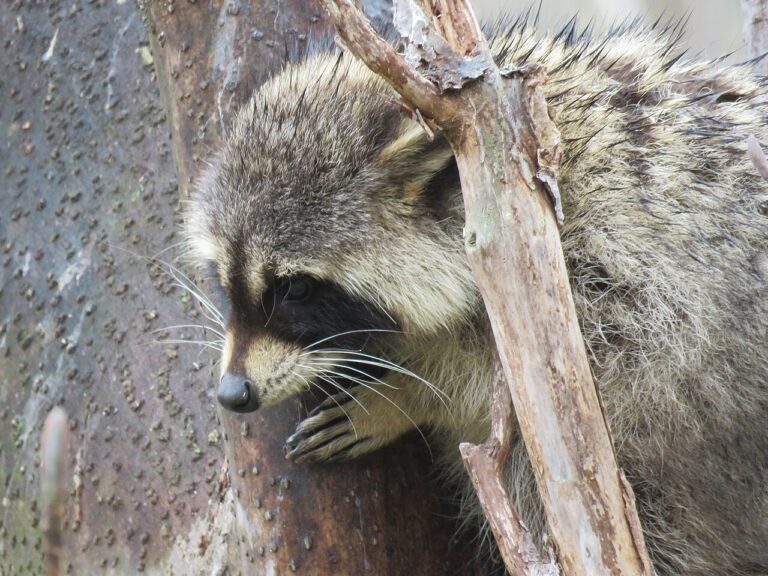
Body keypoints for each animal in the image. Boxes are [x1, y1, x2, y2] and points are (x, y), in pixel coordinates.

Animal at [185, 17, 768, 576]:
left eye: (297, 288)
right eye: (222, 274)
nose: (233, 394)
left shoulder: (620, 269)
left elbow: (594, 378)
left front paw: (407, 396)